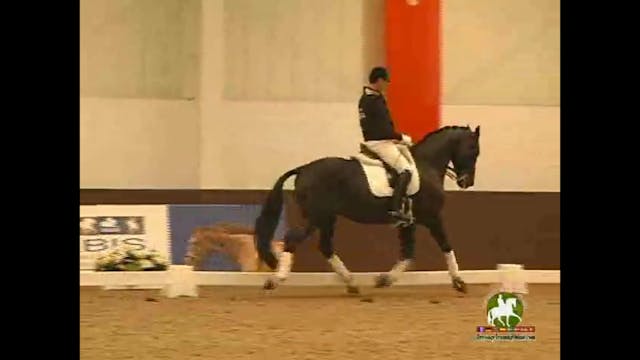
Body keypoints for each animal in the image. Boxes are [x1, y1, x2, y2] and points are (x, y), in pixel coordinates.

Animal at [255, 125, 480, 294]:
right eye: (473, 149)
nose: (466, 182)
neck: (427, 165)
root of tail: (303, 169)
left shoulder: (408, 223)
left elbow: (408, 253)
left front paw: (385, 279)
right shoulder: (432, 217)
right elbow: (446, 245)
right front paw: (459, 281)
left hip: (327, 218)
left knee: (326, 246)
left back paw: (351, 283)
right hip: (315, 216)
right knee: (293, 238)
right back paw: (276, 279)